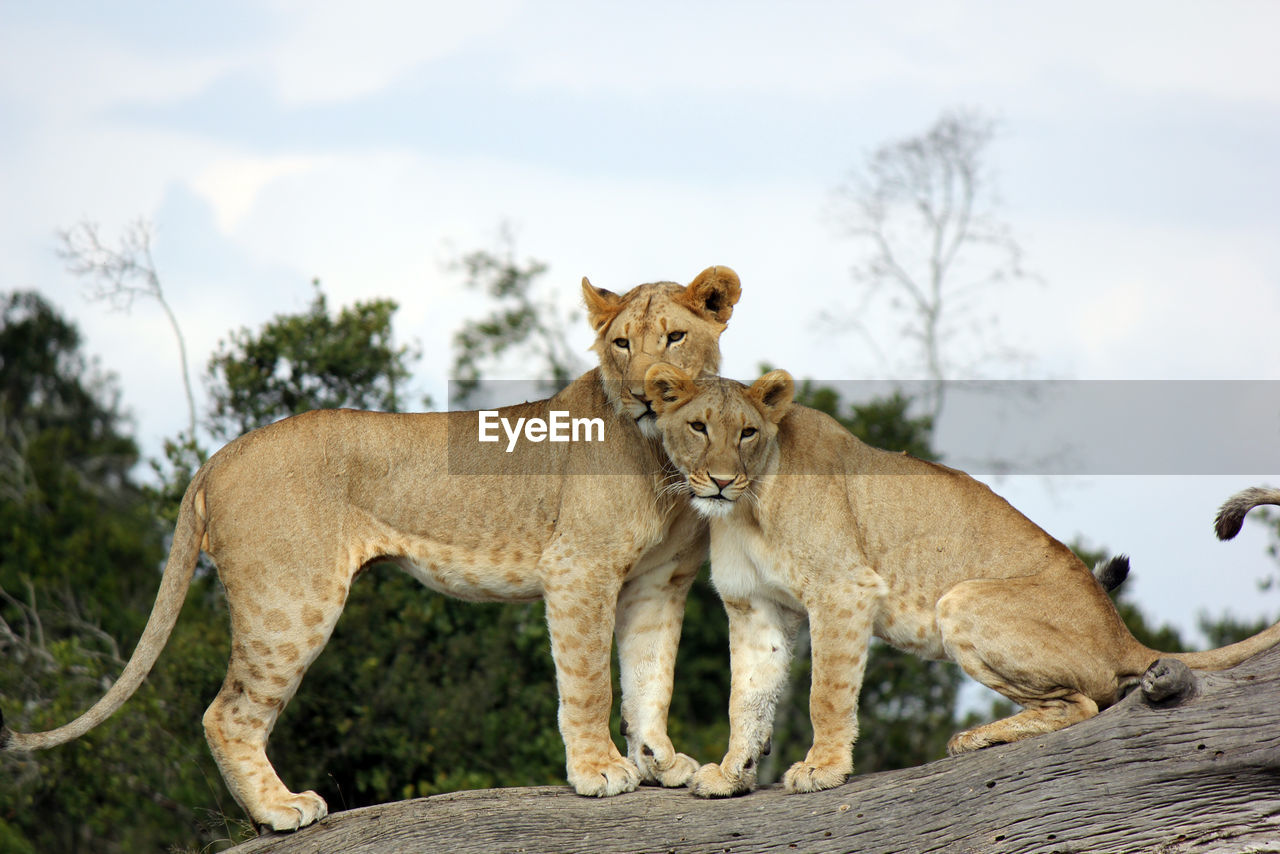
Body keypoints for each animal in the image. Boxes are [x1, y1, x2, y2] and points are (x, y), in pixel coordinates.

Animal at [0, 265, 747, 829]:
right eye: (620, 344)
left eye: (675, 337)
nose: (646, 392)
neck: (660, 453)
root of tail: (218, 457)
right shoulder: (578, 571)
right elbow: (590, 679)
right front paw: (598, 772)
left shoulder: (658, 582)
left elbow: (650, 678)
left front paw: (660, 763)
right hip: (291, 601)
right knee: (227, 713)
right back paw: (282, 811)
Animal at [645, 363, 1280, 798]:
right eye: (698, 427)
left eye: (748, 433)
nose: (721, 480)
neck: (744, 509)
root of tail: (1121, 633)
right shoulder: (755, 607)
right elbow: (748, 699)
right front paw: (732, 775)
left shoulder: (843, 590)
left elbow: (826, 692)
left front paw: (823, 769)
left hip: (963, 600)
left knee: (1082, 703)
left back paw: (977, 737)